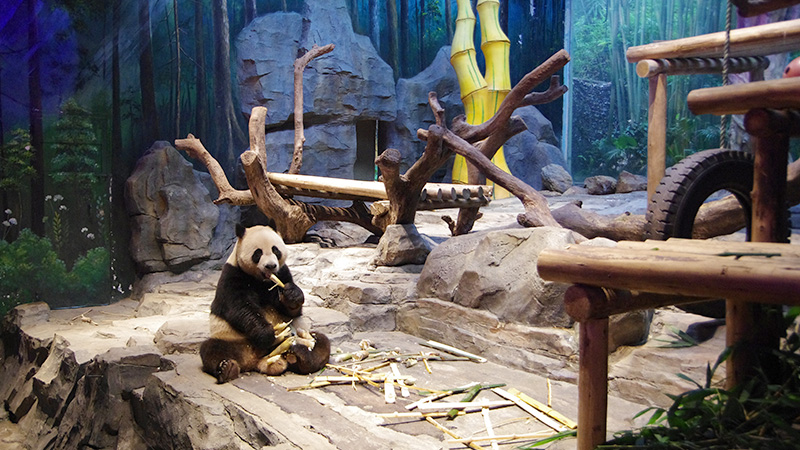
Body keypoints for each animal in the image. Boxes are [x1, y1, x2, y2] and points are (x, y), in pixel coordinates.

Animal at [199, 224, 330, 383]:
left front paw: (292, 295)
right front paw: (267, 333)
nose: (271, 266)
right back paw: (227, 369)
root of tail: (257, 359)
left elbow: (292, 310)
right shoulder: (232, 275)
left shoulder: (283, 272)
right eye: (258, 253)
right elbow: (240, 307)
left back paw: (303, 356)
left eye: (276, 250)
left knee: (321, 342)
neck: (262, 280)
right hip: (232, 338)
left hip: (301, 335)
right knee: (211, 349)